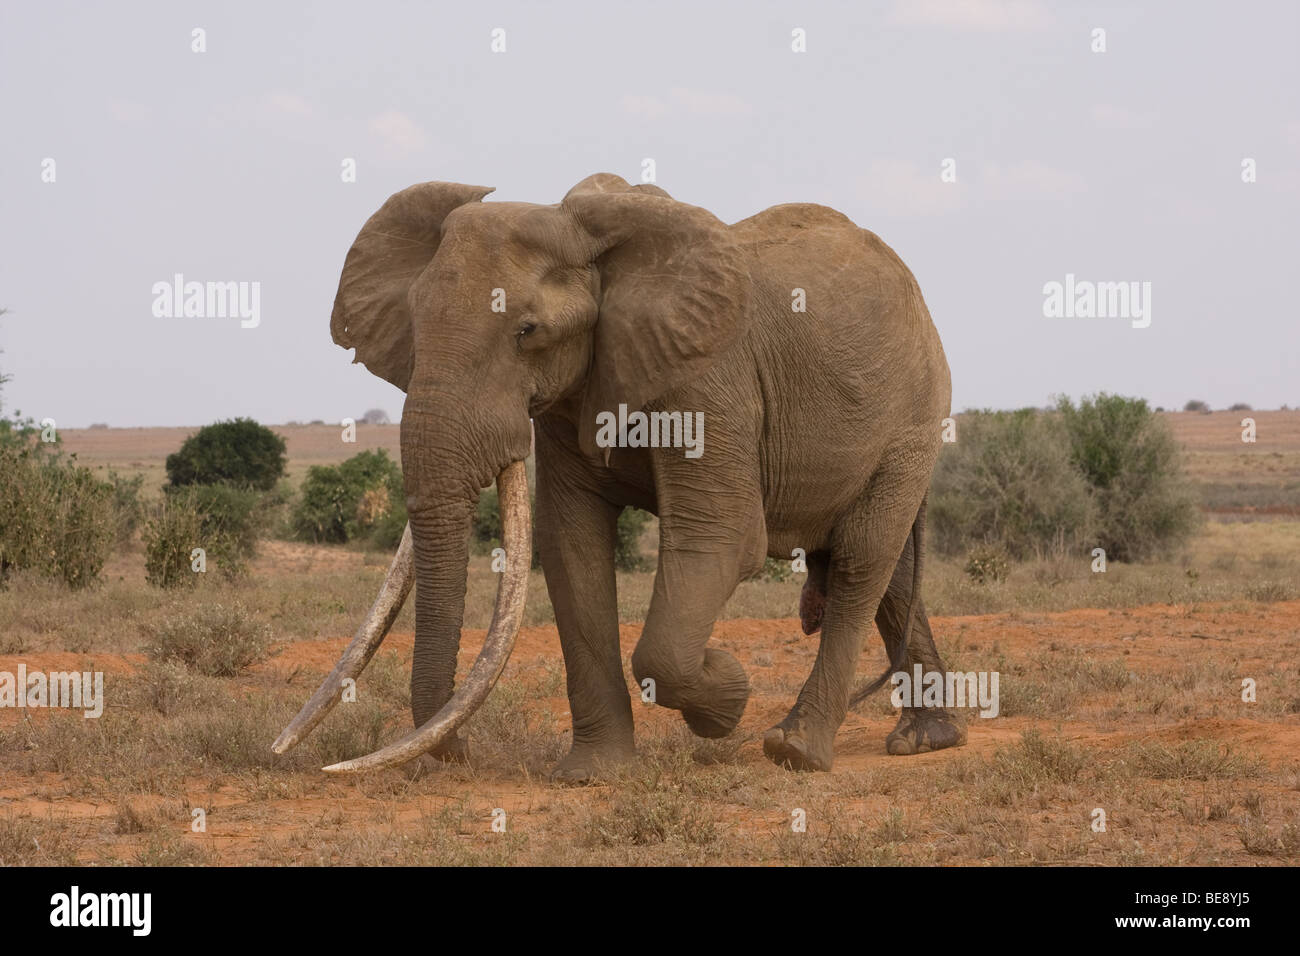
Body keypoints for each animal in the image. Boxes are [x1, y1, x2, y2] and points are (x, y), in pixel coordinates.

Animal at [271, 171, 967, 780]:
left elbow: (719, 541)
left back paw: (795, 751)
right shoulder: (569, 395)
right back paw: (927, 741)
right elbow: (570, 545)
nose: (459, 753)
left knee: (861, 561)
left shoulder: (709, 378)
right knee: (890, 577)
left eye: (528, 331)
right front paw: (591, 775)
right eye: (414, 324)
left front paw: (726, 698)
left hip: (914, 420)